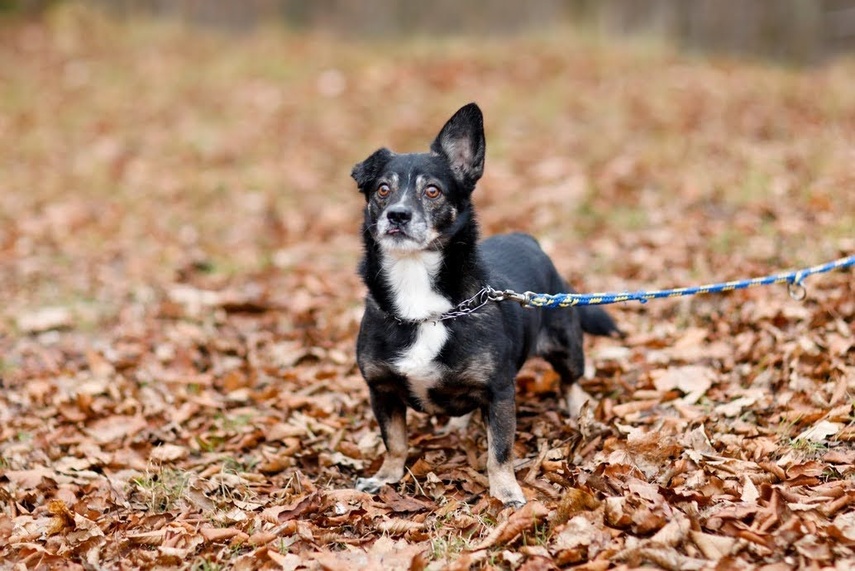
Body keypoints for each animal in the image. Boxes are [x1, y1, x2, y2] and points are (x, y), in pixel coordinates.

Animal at [352, 101, 620, 504]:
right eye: (383, 189)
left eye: (433, 191)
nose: (397, 215)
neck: (420, 295)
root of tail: (528, 239)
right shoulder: (381, 389)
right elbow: (395, 442)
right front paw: (385, 476)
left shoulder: (499, 393)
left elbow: (500, 451)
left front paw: (506, 491)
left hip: (567, 347)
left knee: (571, 381)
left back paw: (577, 410)